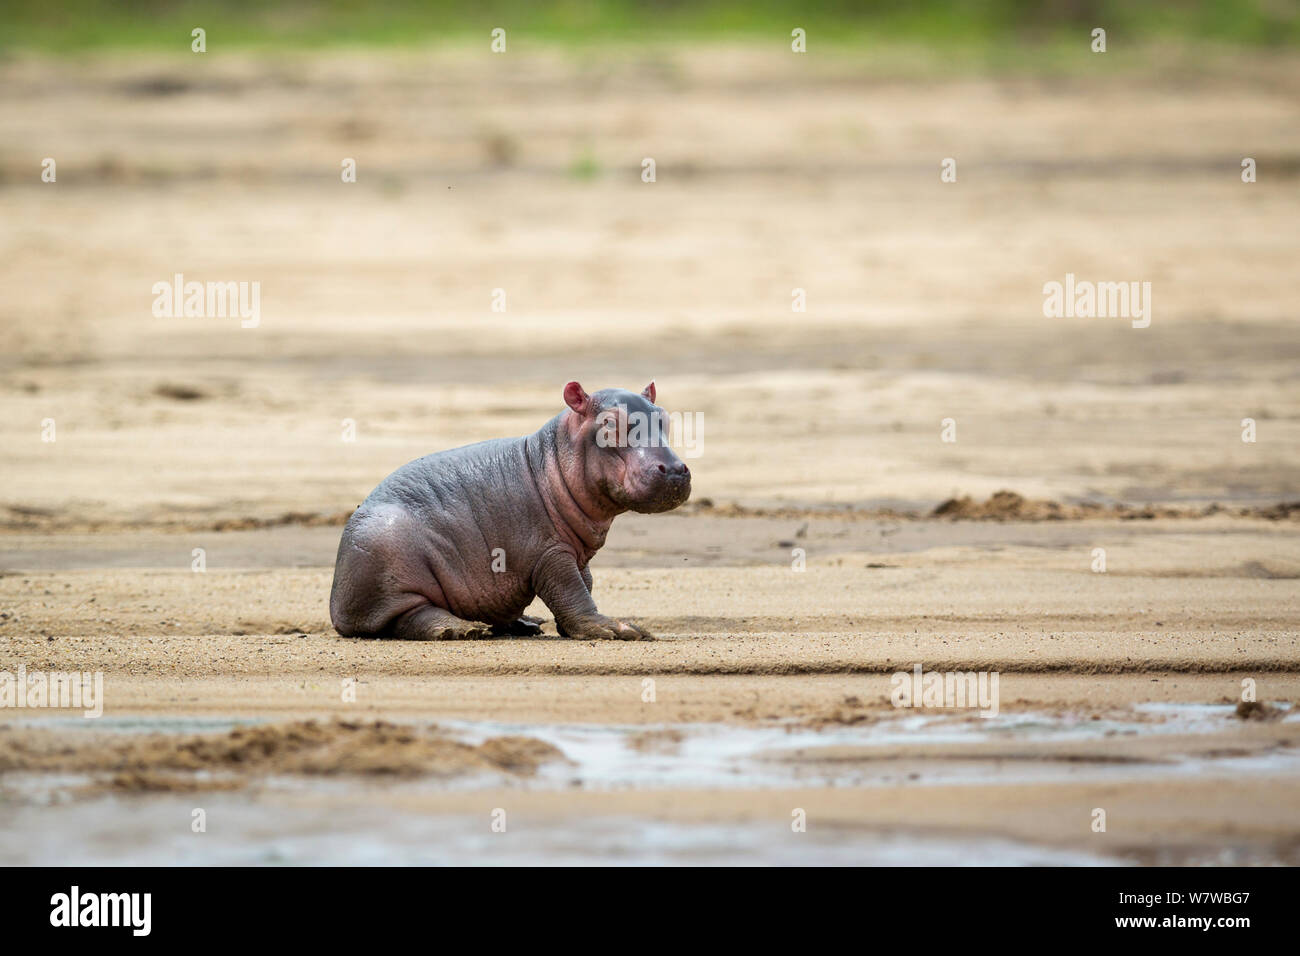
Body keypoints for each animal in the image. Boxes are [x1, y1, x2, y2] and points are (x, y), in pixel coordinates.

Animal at [327, 382, 691, 642]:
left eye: (664, 417)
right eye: (609, 423)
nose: (674, 470)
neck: (551, 459)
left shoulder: (577, 552)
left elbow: (584, 583)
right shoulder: (550, 553)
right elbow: (571, 590)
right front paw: (618, 629)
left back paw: (525, 624)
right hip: (387, 562)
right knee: (409, 616)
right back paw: (462, 630)